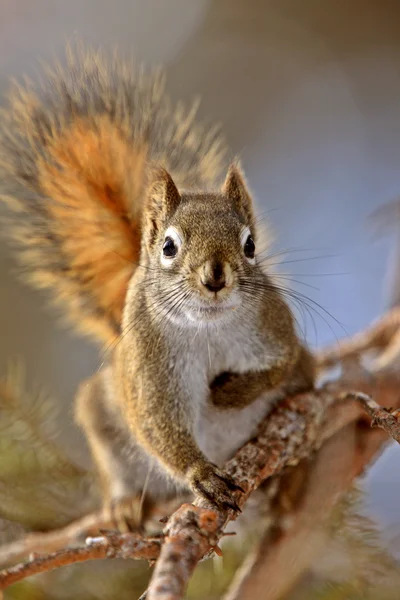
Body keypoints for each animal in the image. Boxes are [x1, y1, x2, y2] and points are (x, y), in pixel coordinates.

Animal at [0, 45, 316, 528]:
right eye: (169, 246)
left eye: (250, 245)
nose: (215, 277)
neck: (207, 330)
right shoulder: (148, 367)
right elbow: (156, 425)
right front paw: (201, 474)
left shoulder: (275, 329)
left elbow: (279, 367)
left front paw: (229, 392)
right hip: (103, 411)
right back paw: (125, 505)